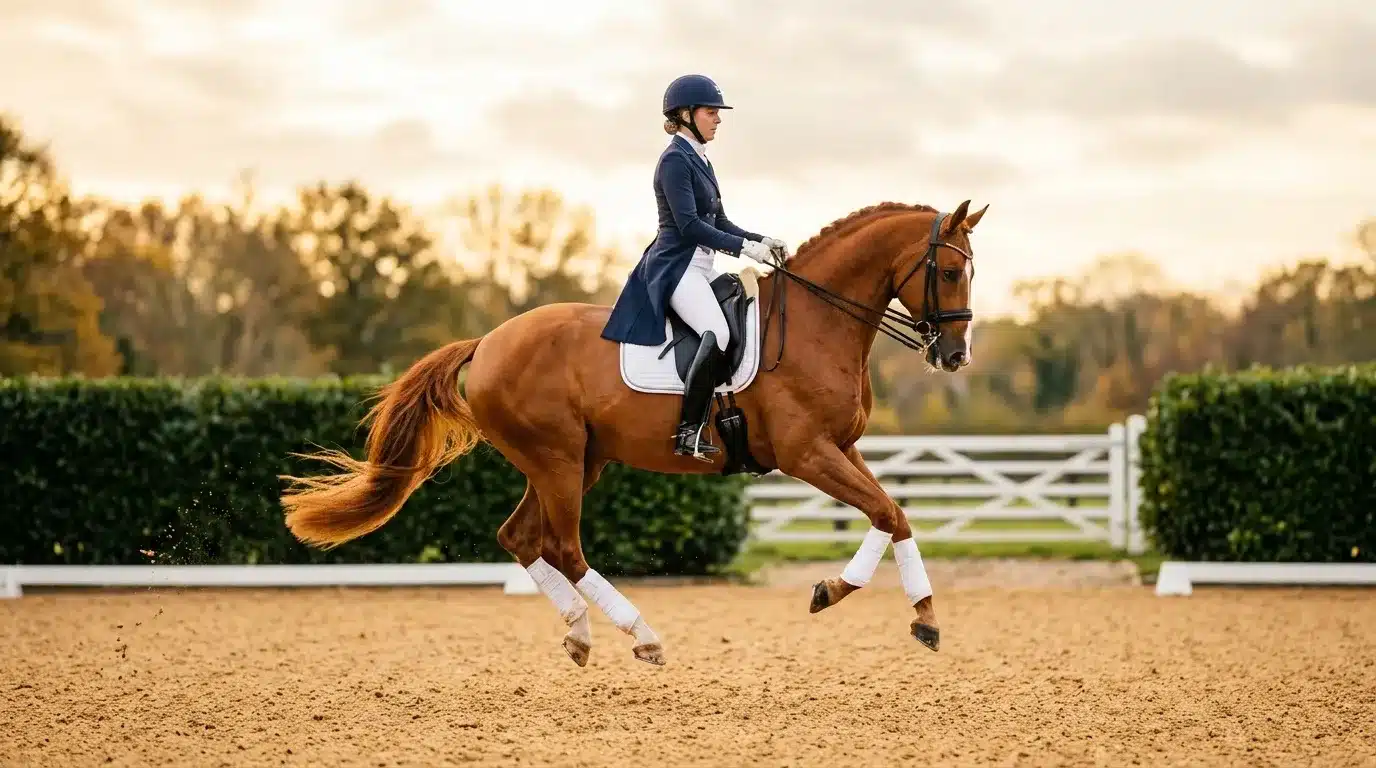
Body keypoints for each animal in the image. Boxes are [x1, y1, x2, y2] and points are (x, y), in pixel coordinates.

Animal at [280, 198, 987, 667]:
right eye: (951, 273)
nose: (955, 357)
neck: (818, 324)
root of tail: (488, 342)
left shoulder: (843, 448)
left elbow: (893, 512)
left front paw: (919, 616)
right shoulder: (806, 453)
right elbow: (884, 510)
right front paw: (837, 593)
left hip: (571, 461)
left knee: (521, 537)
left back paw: (579, 633)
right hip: (559, 460)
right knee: (563, 548)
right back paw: (642, 635)